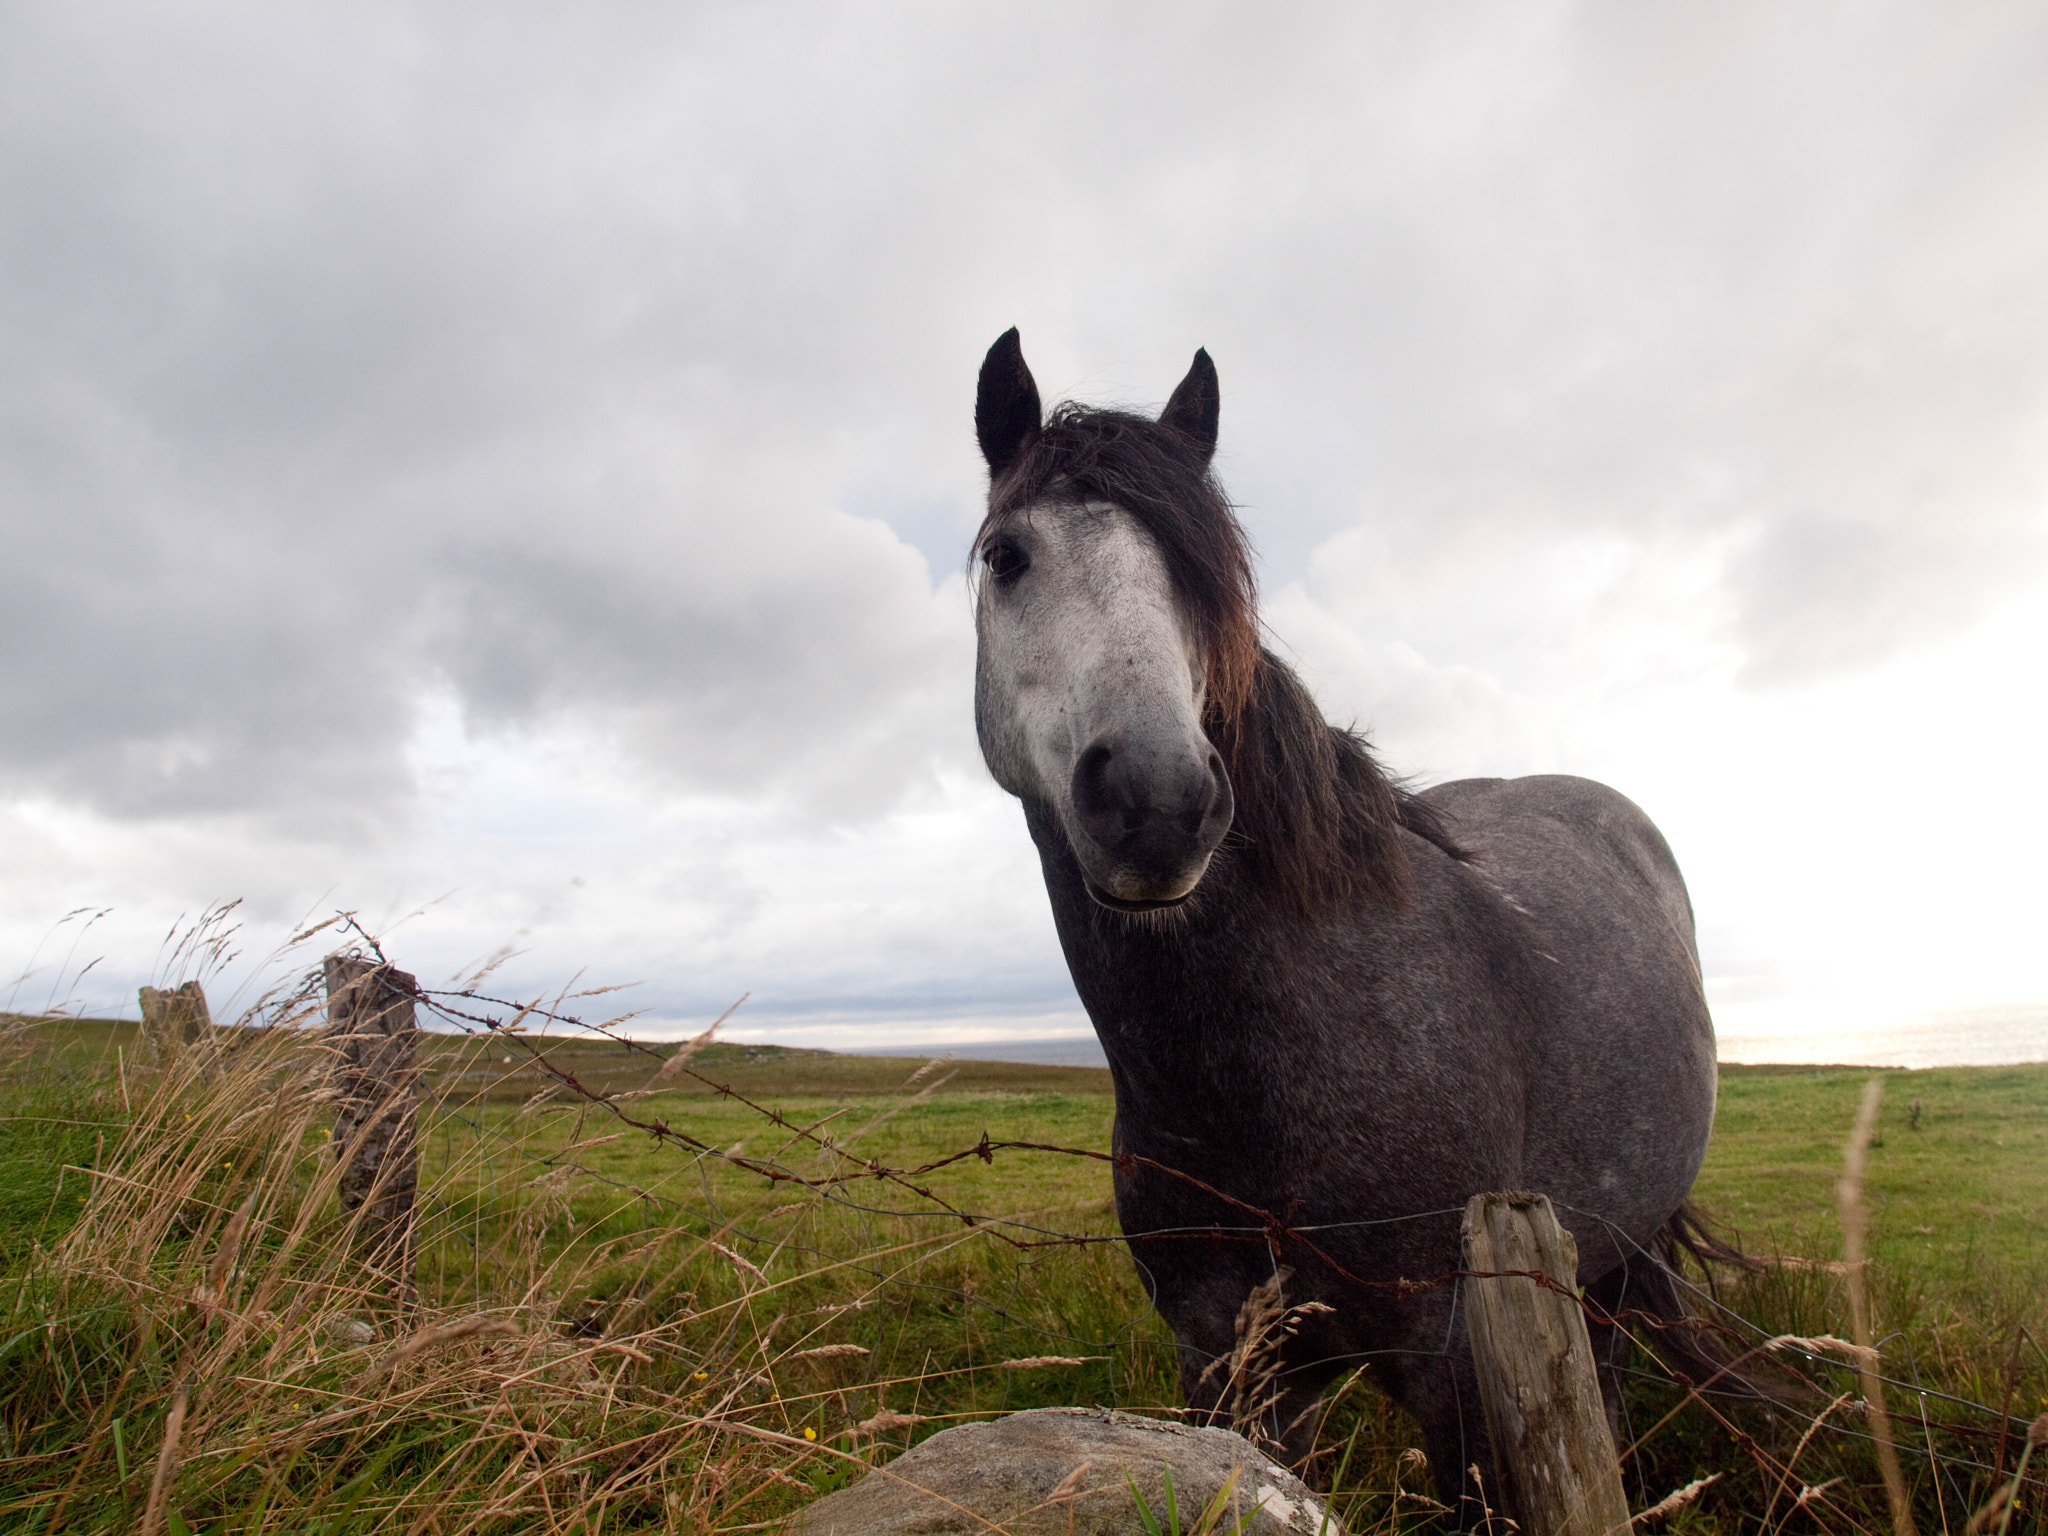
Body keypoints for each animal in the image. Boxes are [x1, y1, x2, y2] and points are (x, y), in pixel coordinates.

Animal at [970, 331, 1728, 1523]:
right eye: (1008, 556)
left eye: (1207, 576)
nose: (1157, 797)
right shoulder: (1227, 1361)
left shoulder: (1455, 1364)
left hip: (1614, 1257)